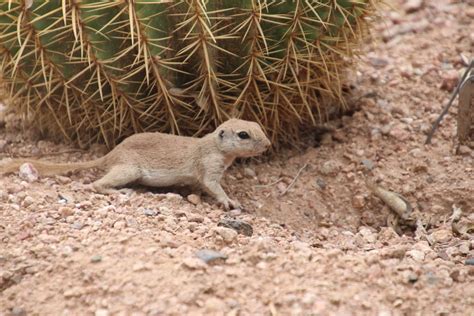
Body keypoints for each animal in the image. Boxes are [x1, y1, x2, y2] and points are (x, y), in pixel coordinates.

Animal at [0, 118, 270, 210]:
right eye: (243, 134)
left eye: (259, 126)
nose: (267, 144)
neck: (214, 145)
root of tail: (111, 155)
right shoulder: (209, 167)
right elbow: (213, 186)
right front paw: (229, 201)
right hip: (128, 169)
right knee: (96, 185)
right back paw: (120, 192)